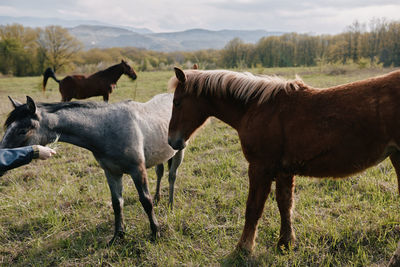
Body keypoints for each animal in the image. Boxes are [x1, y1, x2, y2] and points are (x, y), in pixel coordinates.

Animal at [0, 94, 184, 245]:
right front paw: (118, 236)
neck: (106, 130)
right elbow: (117, 203)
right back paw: (160, 198)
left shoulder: (137, 170)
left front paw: (155, 233)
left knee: (172, 176)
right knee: (160, 173)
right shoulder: (111, 172)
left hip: (179, 152)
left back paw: (170, 204)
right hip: (161, 156)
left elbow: (146, 201)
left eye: (22, 130)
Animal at [167, 67, 400, 255]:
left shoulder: (259, 168)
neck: (256, 108)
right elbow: (285, 204)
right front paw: (285, 243)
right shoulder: (283, 171)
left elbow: (253, 208)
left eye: (177, 102)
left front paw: (244, 247)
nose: (172, 141)